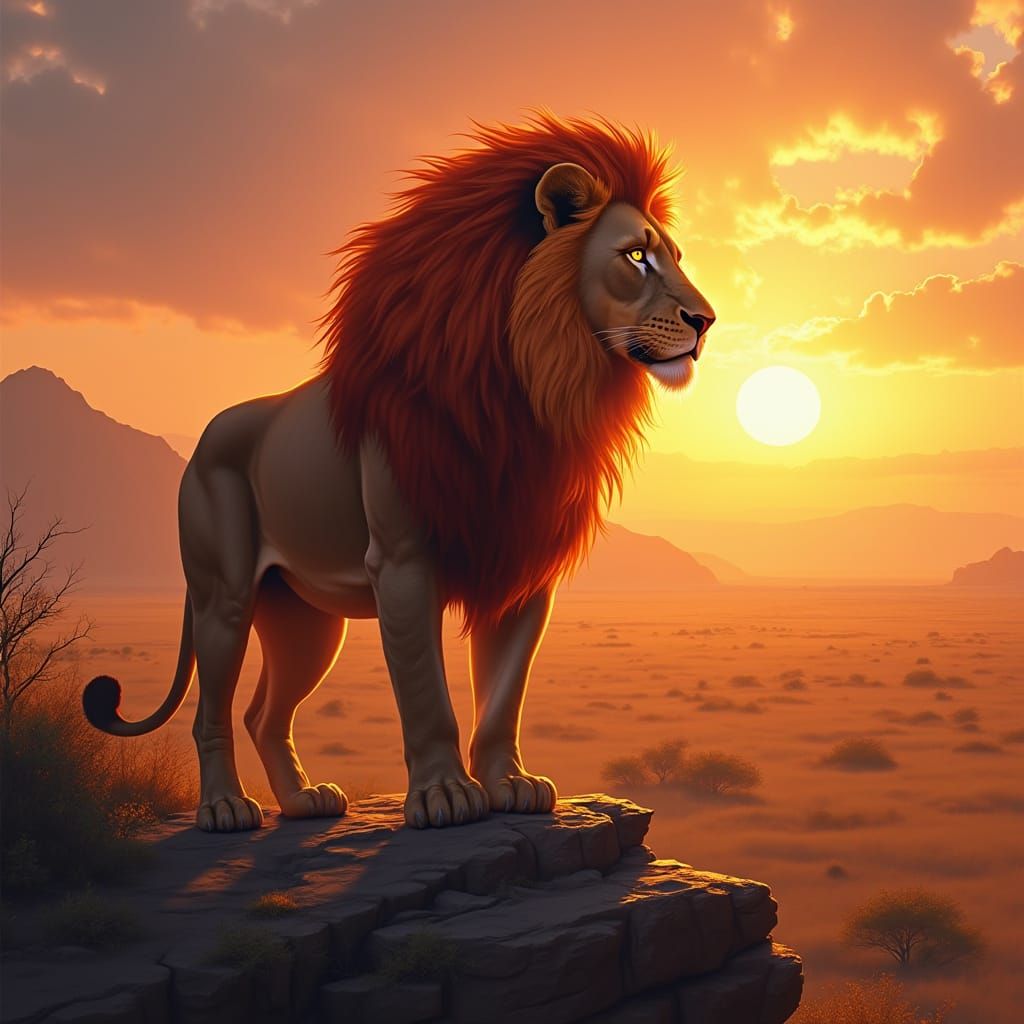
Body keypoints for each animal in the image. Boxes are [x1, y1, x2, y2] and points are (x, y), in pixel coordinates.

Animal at [83, 111, 715, 833]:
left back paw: (304, 802)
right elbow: (425, 694)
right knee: (212, 712)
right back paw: (224, 808)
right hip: (225, 595)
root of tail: (207, 436)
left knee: (263, 713)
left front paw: (512, 784)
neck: (534, 389)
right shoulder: (405, 563)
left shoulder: (522, 567)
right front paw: (445, 796)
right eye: (636, 256)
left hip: (306, 620)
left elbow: (503, 696)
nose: (707, 321)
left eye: (674, 257)